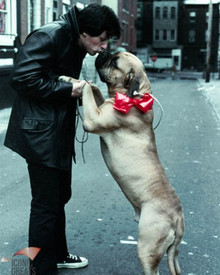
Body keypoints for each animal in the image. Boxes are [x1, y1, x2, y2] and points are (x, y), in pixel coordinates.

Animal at [58, 51, 184, 275]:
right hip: (173, 255)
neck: (134, 97)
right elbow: (95, 88)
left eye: (115, 62)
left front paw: (79, 83)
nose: (104, 51)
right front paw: (71, 79)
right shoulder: (102, 105)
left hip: (147, 248)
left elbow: (88, 89)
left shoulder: (93, 119)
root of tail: (177, 218)